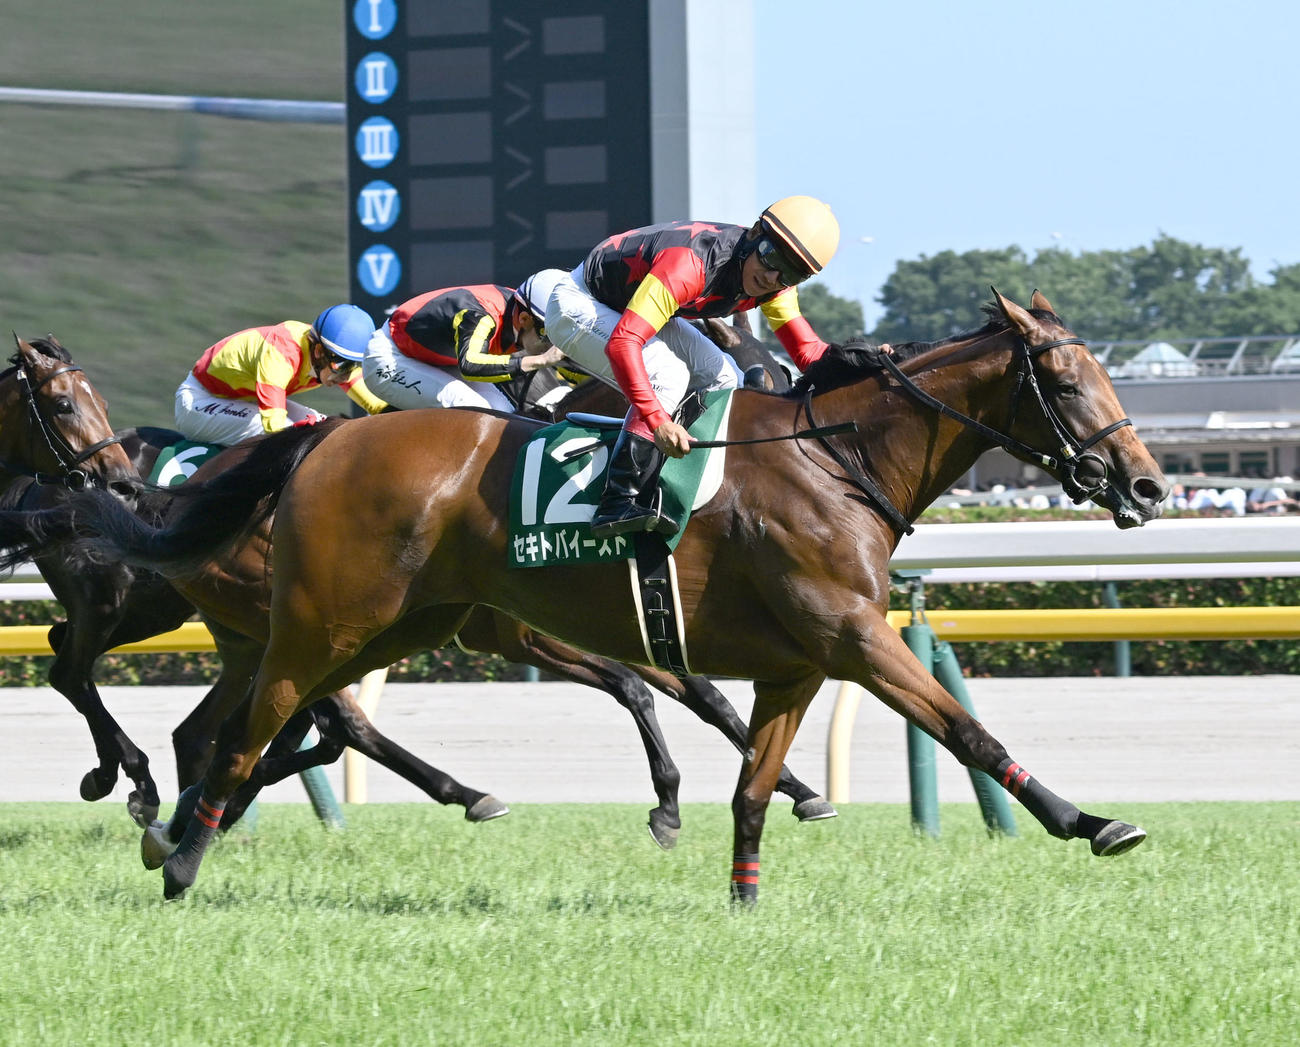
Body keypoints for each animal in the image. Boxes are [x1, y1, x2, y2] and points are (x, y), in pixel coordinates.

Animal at [5, 323, 831, 846]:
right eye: (756, 380)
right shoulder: (522, 635)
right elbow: (639, 687)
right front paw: (679, 800)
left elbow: (702, 692)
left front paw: (797, 787)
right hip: (142, 606)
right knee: (79, 665)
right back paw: (150, 788)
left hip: (237, 625)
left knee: (221, 721)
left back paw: (194, 800)